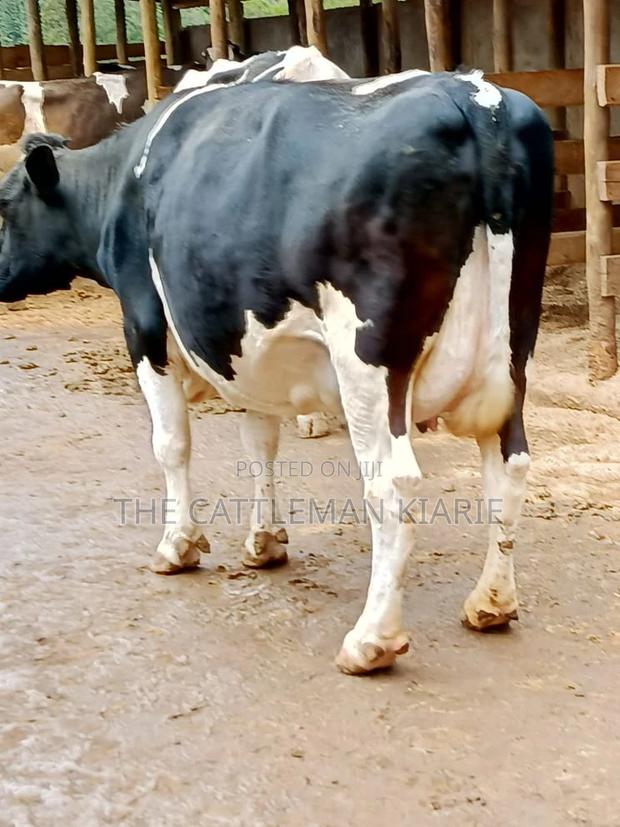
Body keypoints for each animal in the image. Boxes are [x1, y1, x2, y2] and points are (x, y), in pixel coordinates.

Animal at [0, 68, 553, 675]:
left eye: (3, 205)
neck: (120, 180)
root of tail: (478, 100)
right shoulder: (241, 350)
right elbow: (258, 442)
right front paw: (264, 541)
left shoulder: (144, 321)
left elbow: (171, 445)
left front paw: (178, 545)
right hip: (515, 351)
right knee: (509, 467)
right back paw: (492, 603)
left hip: (368, 359)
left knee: (392, 484)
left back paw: (372, 640)